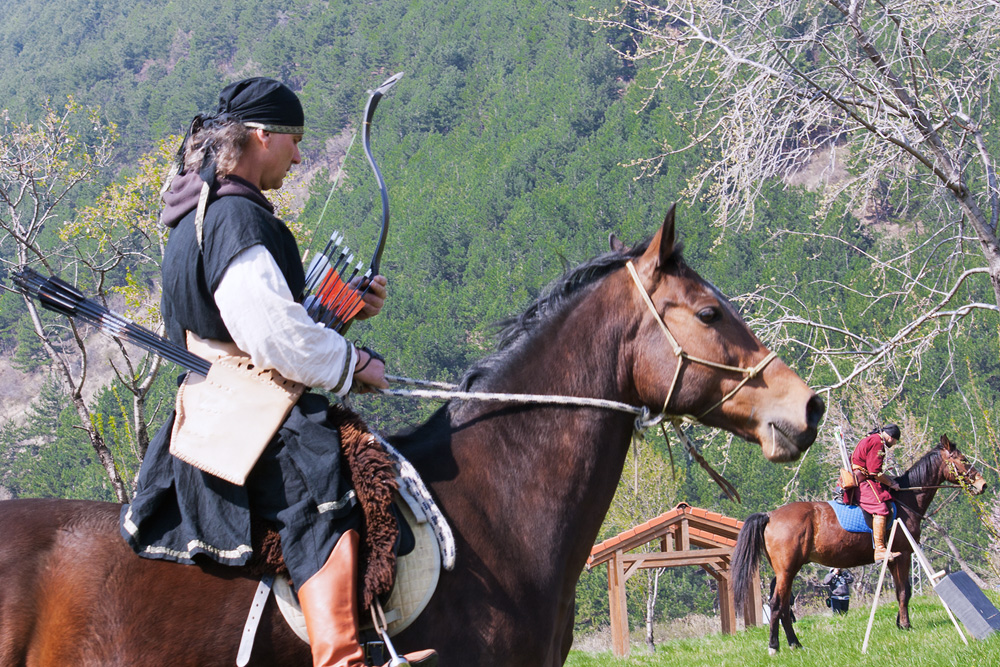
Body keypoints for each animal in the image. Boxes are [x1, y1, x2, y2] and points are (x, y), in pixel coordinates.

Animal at [732, 434, 988, 656]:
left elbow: (900, 590)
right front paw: (906, 625)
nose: (983, 485)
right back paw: (774, 647)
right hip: (786, 570)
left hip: (788, 571)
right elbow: (905, 591)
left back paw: (795, 643)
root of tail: (770, 516)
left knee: (785, 606)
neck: (905, 500)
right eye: (962, 460)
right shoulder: (905, 554)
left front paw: (899, 623)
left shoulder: (894, 558)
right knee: (777, 605)